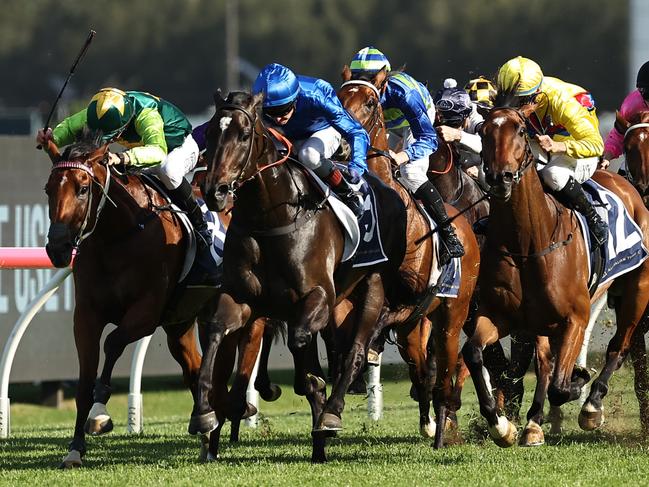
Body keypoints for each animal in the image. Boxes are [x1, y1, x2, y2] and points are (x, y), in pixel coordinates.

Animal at [44, 134, 278, 468]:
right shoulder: (86, 316)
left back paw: (235, 408)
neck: (118, 235)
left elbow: (113, 343)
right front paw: (75, 448)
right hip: (181, 325)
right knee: (196, 369)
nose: (58, 247)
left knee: (247, 345)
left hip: (245, 310)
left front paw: (100, 413)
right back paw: (207, 425)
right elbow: (85, 379)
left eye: (83, 188)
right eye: (48, 189)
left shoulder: (146, 312)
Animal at [195, 90, 408, 462]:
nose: (215, 191)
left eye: (244, 135)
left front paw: (320, 408)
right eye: (209, 133)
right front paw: (206, 413)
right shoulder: (243, 297)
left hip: (372, 286)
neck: (271, 217)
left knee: (354, 351)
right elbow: (218, 330)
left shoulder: (317, 296)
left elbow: (303, 346)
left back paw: (332, 412)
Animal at [336, 66, 478, 448]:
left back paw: (443, 429)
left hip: (450, 314)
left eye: (370, 102)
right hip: (414, 331)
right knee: (421, 370)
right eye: (338, 98)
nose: (342, 145)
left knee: (443, 367)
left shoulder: (410, 300)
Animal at [464, 105, 648, 448]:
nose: (499, 178)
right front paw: (502, 426)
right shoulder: (499, 315)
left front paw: (579, 383)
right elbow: (473, 353)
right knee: (548, 362)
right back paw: (534, 423)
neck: (527, 244)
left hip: (636, 291)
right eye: (483, 131)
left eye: (521, 130)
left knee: (619, 346)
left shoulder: (575, 317)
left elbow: (561, 386)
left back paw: (592, 405)